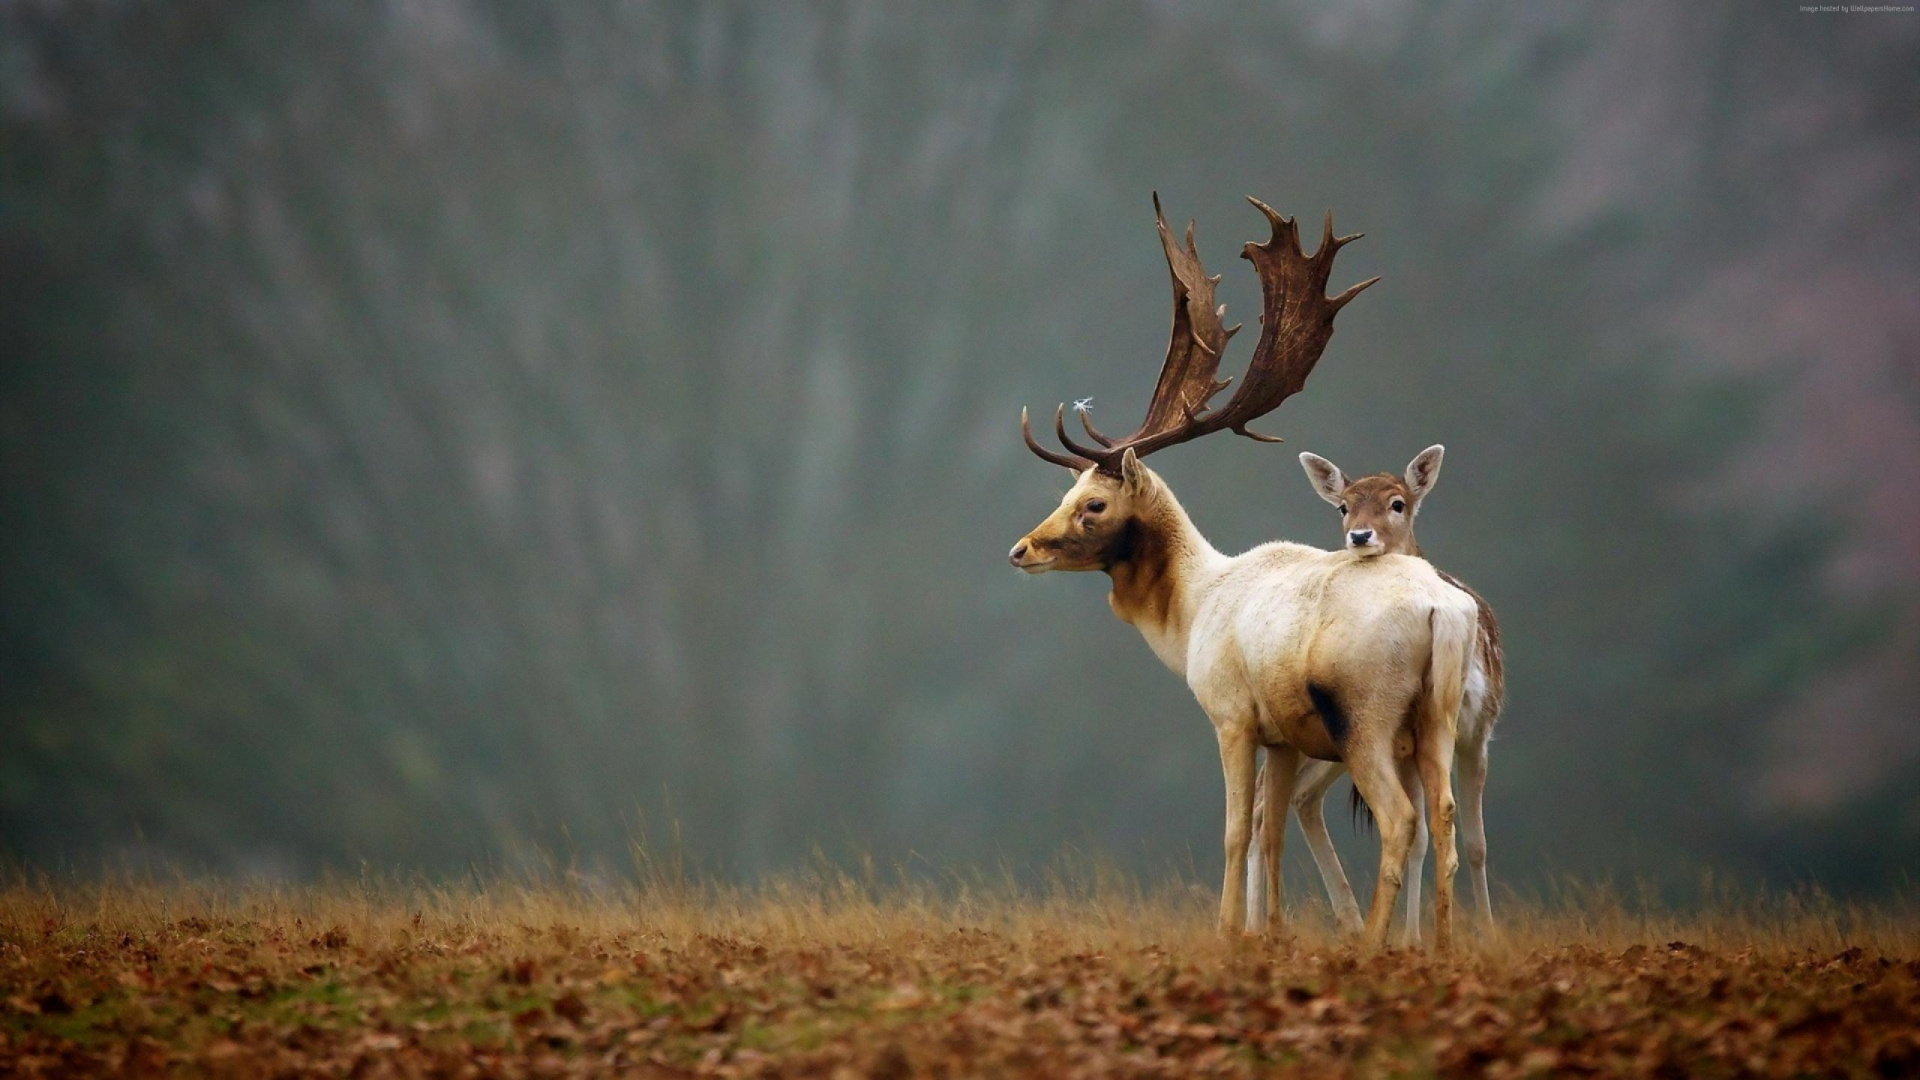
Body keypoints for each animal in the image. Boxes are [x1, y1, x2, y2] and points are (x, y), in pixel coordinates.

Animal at [1008, 194, 1480, 953]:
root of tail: (1445, 611)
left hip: (1367, 715)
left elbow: (1235, 830)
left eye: (1093, 503)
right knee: (1445, 815)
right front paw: (1271, 932)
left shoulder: (1230, 714)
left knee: (1401, 819)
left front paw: (1229, 930)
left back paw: (1372, 944)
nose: (1022, 549)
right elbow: (1270, 832)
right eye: (1066, 491)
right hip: (1437, 714)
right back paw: (1436, 945)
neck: (1193, 611)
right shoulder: (1283, 734)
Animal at [1244, 446, 1506, 944]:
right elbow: (1425, 836)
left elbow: (1476, 842)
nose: (1359, 535)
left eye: (1397, 503)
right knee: (1270, 802)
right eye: (1343, 506)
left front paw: (1482, 932)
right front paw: (1412, 939)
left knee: (1292, 799)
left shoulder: (1479, 730)